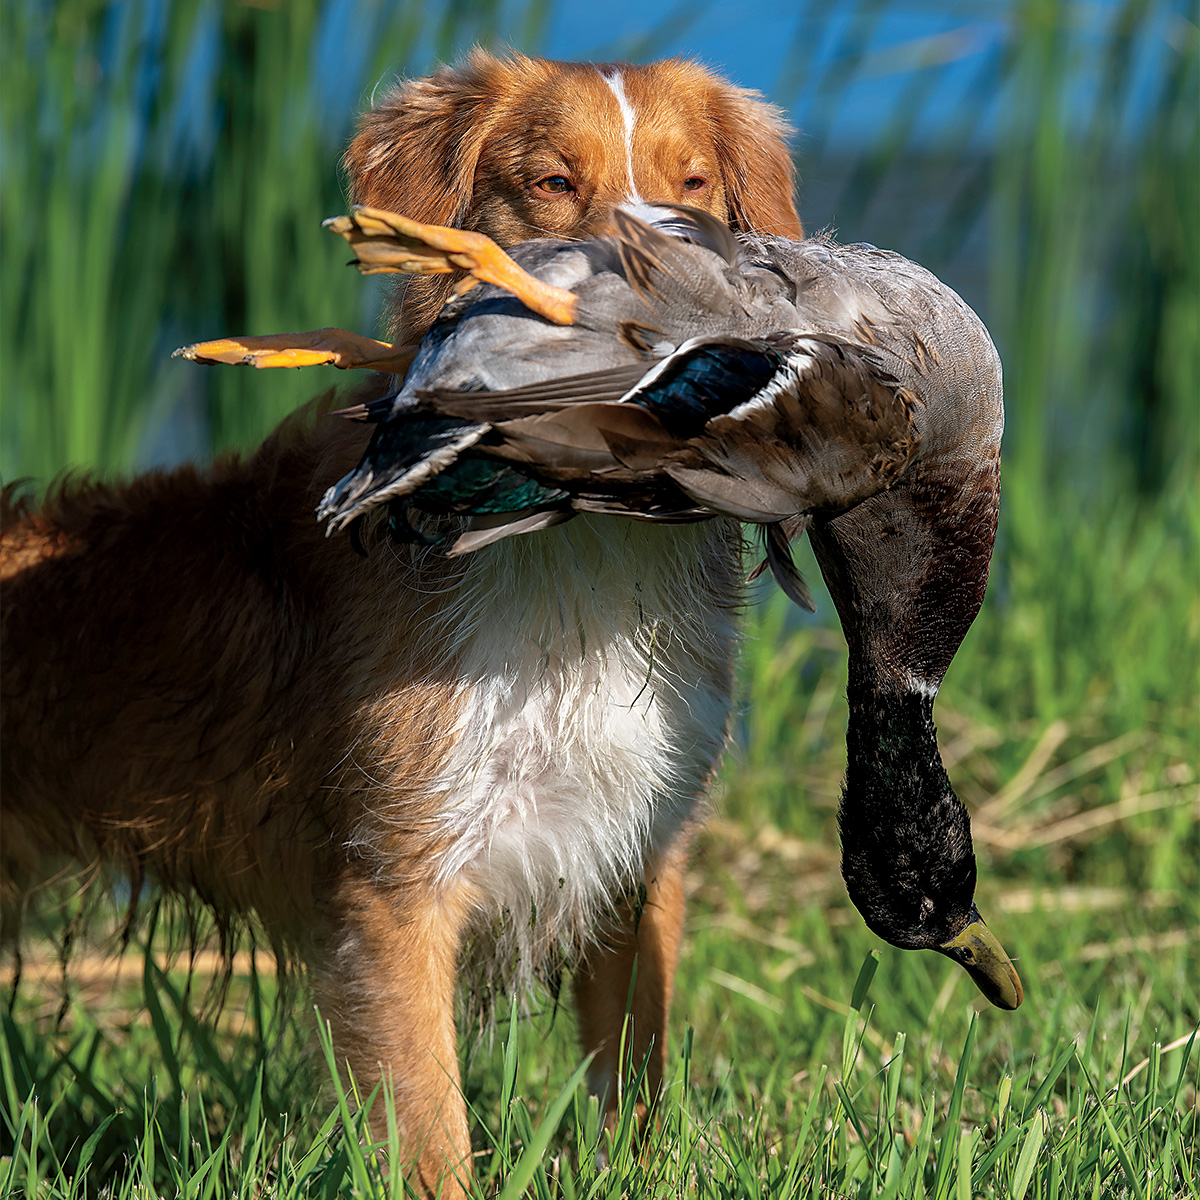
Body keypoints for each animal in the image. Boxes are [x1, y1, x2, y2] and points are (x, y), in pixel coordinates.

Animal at [4, 49, 801, 1200]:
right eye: (552, 183)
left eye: (693, 184)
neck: (572, 548)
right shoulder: (397, 884)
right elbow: (432, 1127)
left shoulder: (634, 848)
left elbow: (633, 1083)